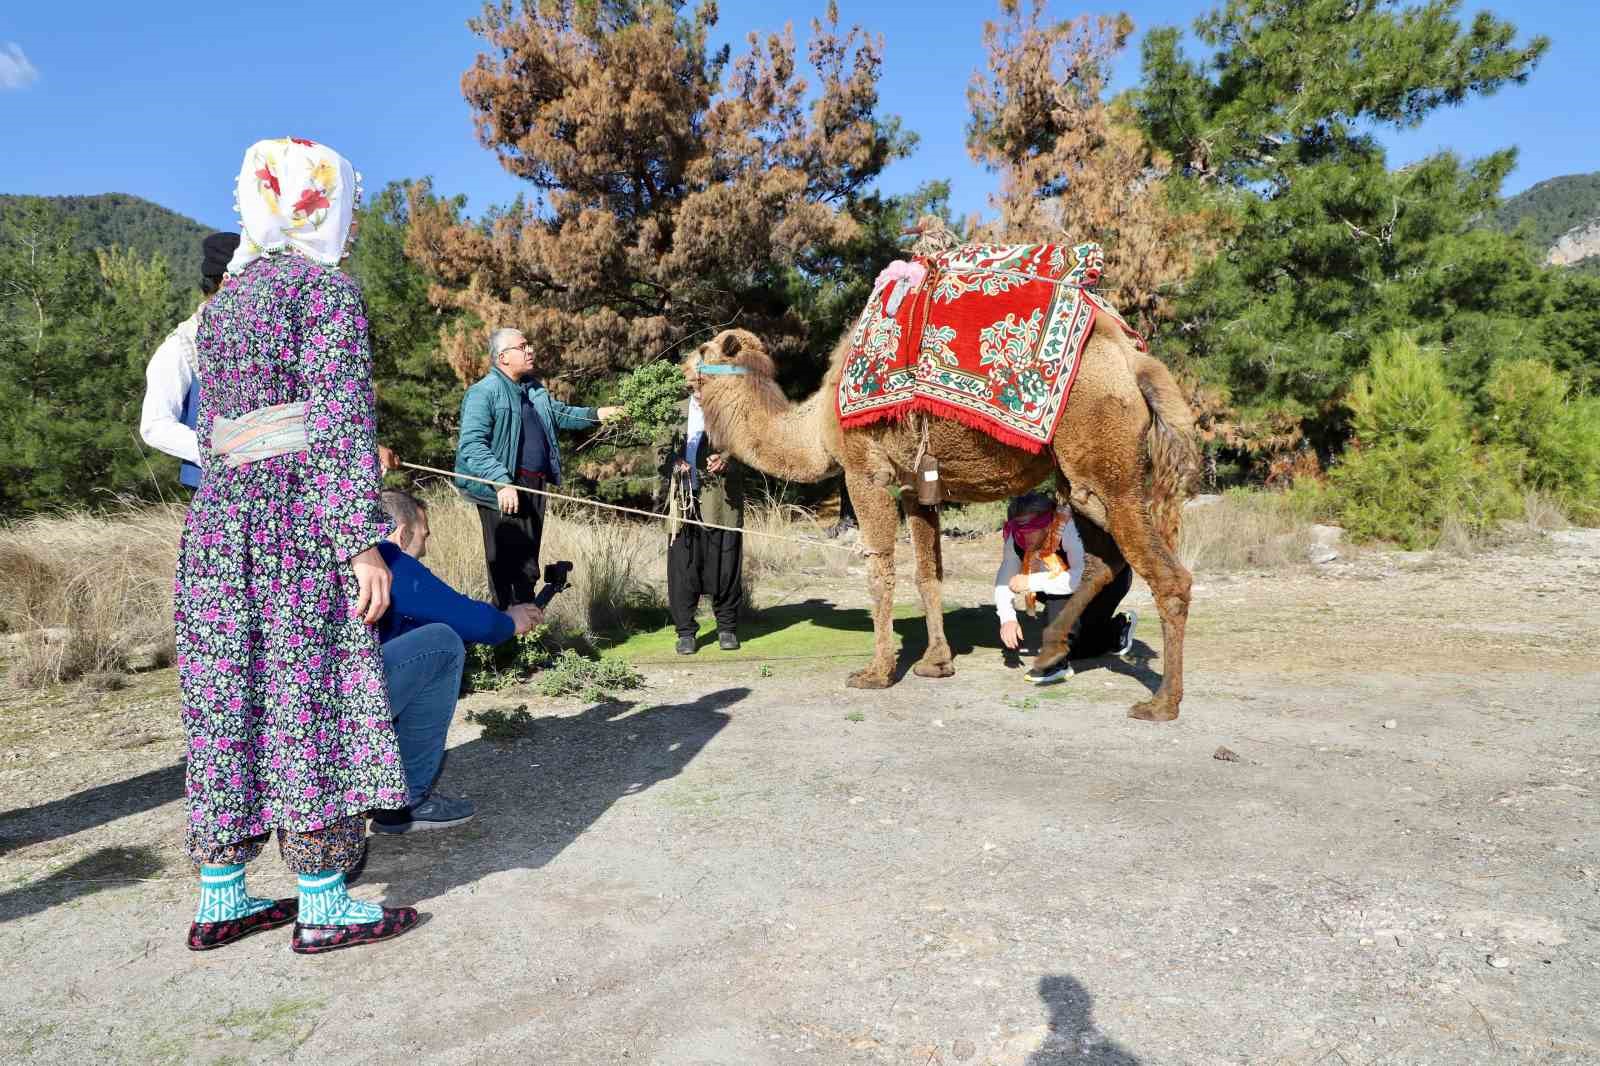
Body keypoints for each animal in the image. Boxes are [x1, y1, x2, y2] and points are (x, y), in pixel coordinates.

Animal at [688, 264, 1203, 723]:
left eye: (704, 348)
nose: (682, 364)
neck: (815, 426)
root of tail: (1135, 363)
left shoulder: (865, 471)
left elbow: (880, 571)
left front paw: (875, 672)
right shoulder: (916, 486)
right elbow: (928, 574)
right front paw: (936, 662)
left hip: (1104, 464)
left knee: (1167, 575)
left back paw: (1161, 704)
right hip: (1080, 481)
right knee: (1100, 562)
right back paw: (1052, 650)